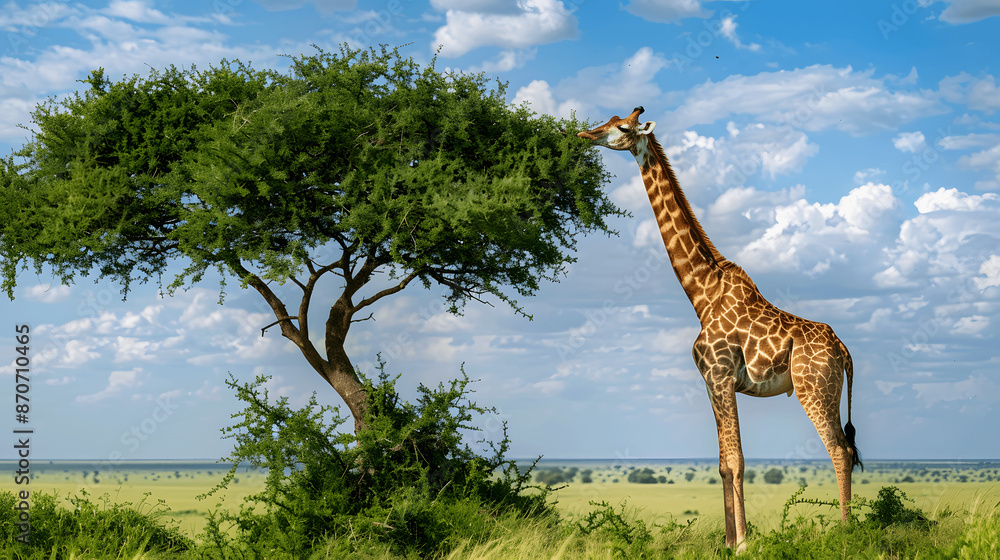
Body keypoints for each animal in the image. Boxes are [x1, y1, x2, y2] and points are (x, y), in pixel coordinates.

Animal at [578, 107, 862, 551]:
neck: (701, 293)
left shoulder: (722, 375)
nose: (585, 134)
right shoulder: (710, 382)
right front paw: (729, 542)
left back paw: (847, 533)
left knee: (839, 451)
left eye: (622, 127)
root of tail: (844, 351)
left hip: (815, 390)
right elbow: (723, 464)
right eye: (609, 119)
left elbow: (738, 459)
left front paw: (743, 543)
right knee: (846, 449)